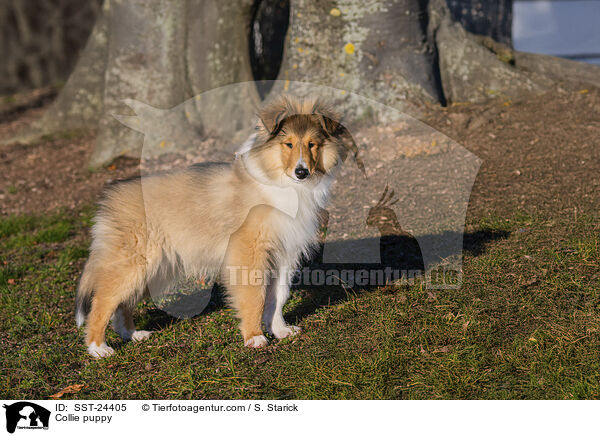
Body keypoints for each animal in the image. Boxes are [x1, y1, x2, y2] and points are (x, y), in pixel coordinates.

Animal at [77, 95, 354, 358]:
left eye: (312, 144)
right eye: (288, 144)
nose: (301, 172)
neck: (282, 184)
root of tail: (110, 197)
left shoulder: (284, 254)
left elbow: (278, 297)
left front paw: (280, 330)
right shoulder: (249, 253)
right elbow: (255, 296)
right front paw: (254, 337)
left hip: (155, 269)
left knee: (122, 305)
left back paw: (133, 335)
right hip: (134, 265)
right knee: (102, 302)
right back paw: (98, 348)